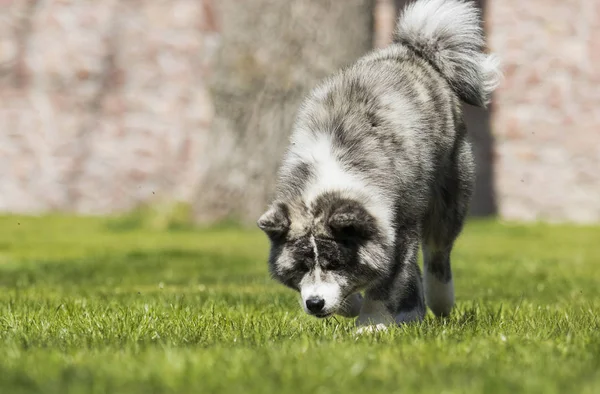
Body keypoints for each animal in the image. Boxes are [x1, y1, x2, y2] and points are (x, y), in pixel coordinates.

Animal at [255, 0, 500, 332]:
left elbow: (386, 280)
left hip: (450, 192)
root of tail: (416, 52)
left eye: (336, 262)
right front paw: (352, 307)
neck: (331, 167)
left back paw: (439, 302)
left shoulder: (399, 225)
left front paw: (371, 326)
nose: (315, 304)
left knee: (437, 251)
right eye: (301, 266)